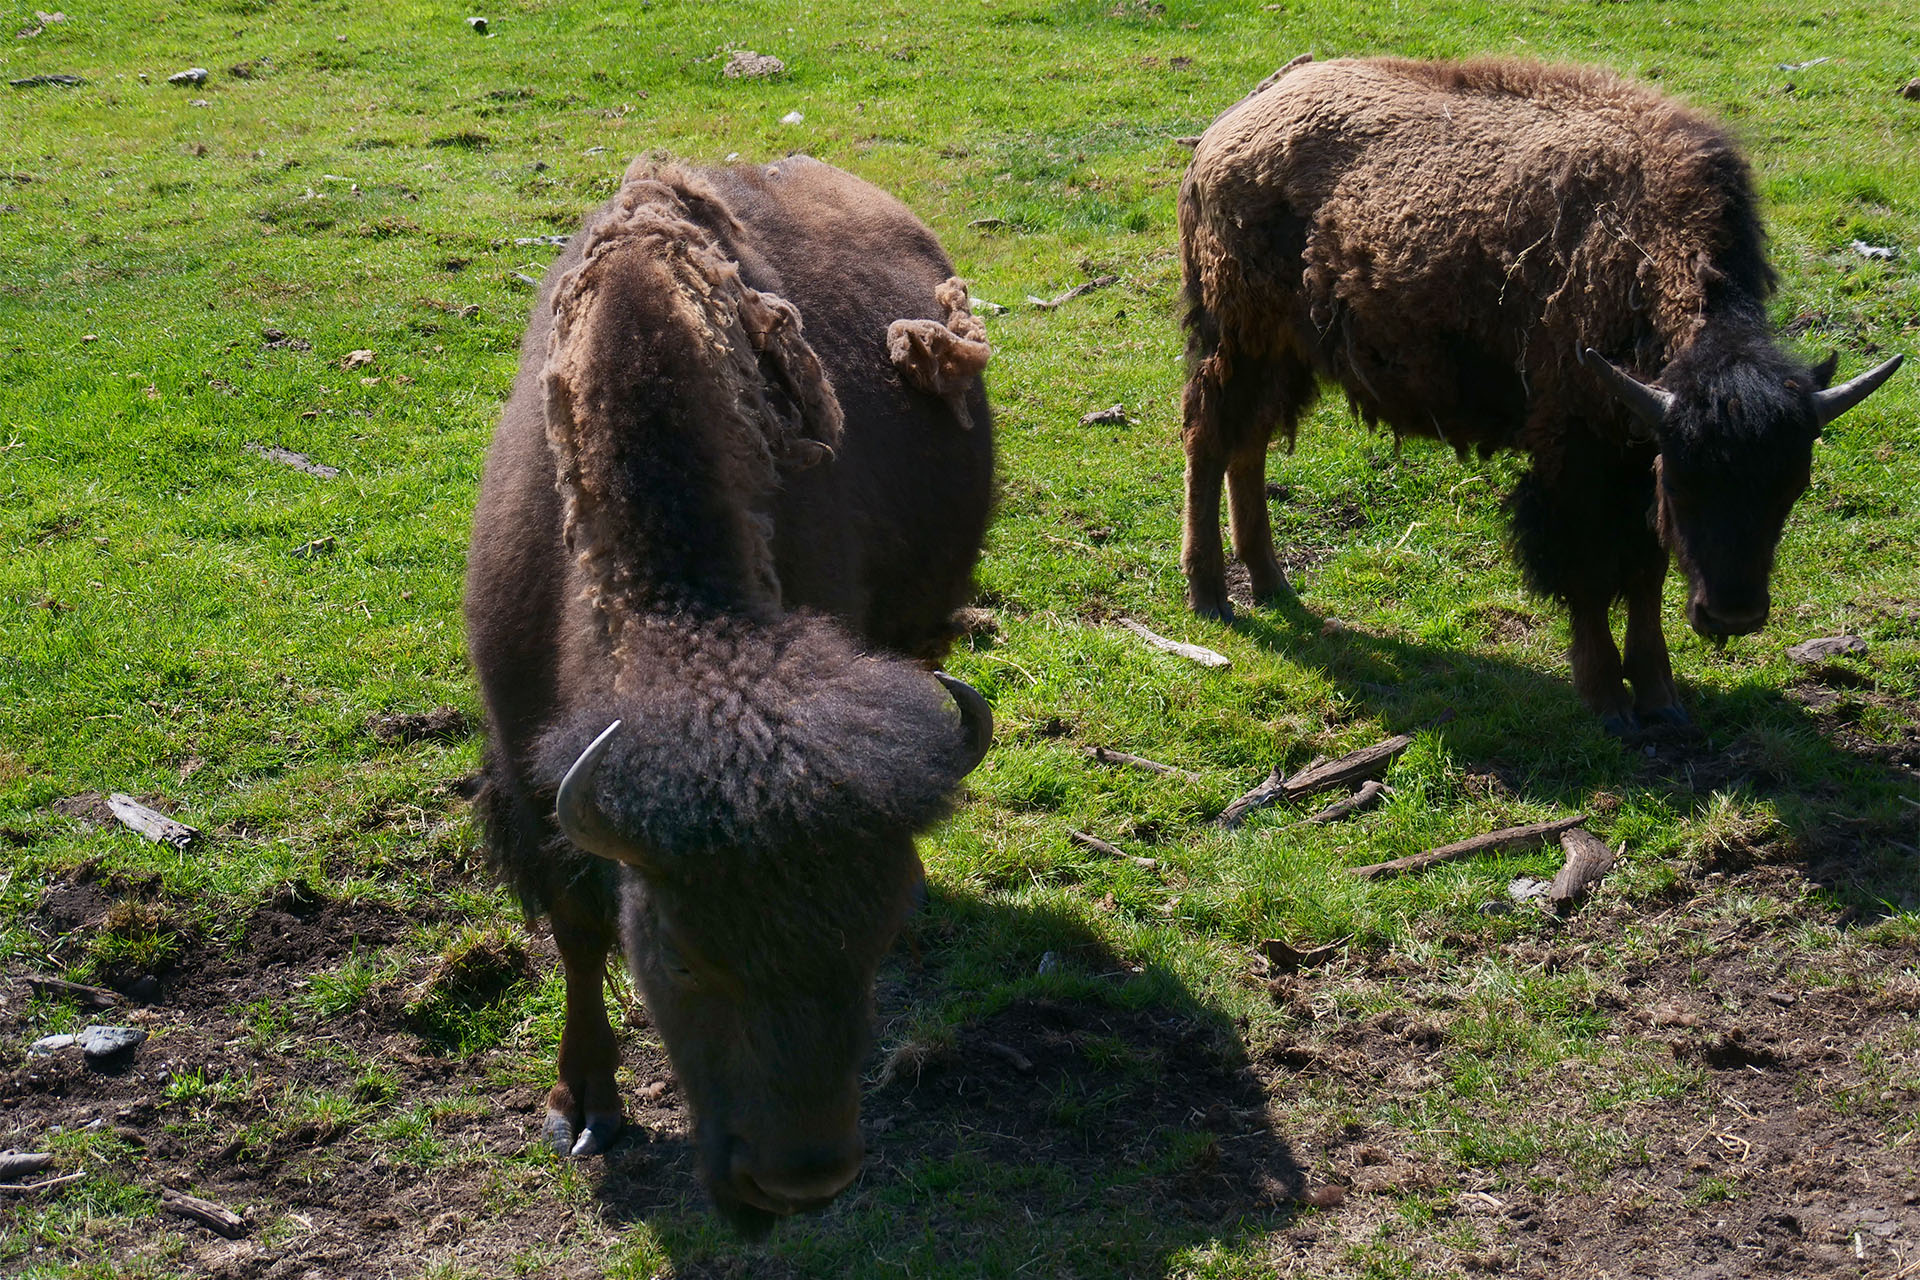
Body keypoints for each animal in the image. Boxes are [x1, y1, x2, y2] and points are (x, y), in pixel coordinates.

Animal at [466, 155, 998, 1235]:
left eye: (868, 947)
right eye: (680, 954)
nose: (799, 1180)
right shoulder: (533, 779)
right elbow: (578, 932)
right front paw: (582, 1107)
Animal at [1175, 55, 1896, 729]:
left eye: (1792, 485)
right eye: (1686, 481)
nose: (1734, 615)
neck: (1639, 243)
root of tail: (1232, 125)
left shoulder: (1633, 457)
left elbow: (1645, 574)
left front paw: (1660, 697)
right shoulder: (1574, 454)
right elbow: (1587, 572)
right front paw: (1608, 699)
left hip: (1283, 354)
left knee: (1248, 446)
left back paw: (1270, 582)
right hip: (1238, 338)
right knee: (1207, 439)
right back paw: (1212, 594)